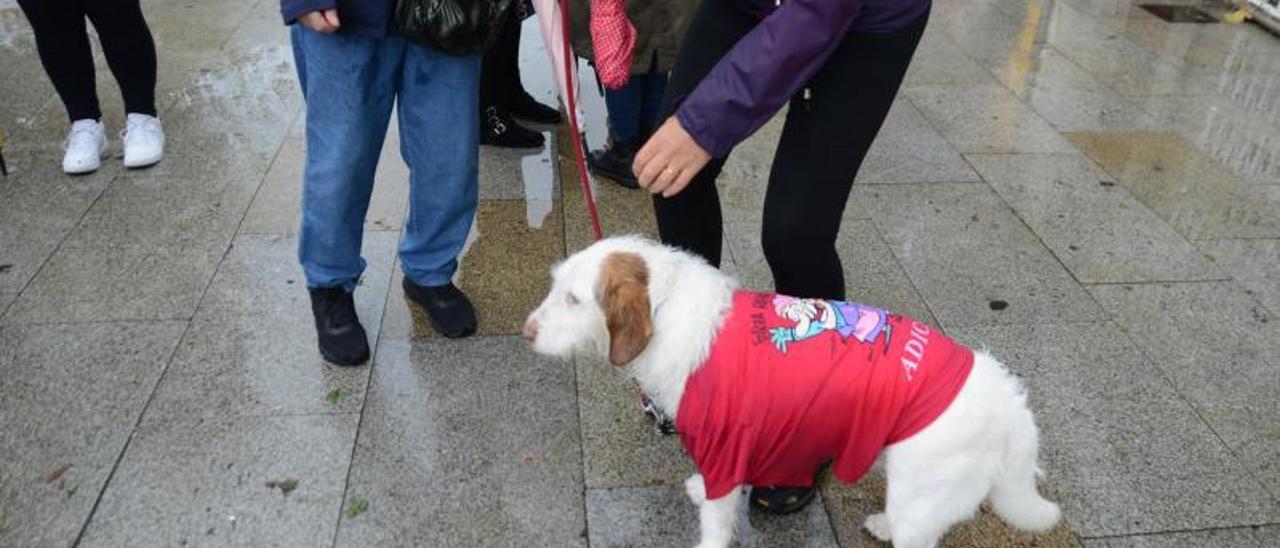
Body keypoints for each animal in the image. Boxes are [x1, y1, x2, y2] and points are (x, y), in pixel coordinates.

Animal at [522, 236, 1059, 548]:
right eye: (556, 287)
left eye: (574, 299)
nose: (525, 332)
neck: (667, 308)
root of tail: (1010, 406)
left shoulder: (724, 446)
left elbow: (716, 521)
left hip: (923, 490)